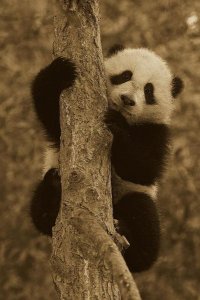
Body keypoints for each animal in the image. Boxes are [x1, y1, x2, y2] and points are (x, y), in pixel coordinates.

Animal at [30, 44, 183, 272]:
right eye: (125, 75)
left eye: (149, 90)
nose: (127, 100)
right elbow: (51, 117)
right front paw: (60, 72)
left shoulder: (156, 131)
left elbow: (144, 168)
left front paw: (116, 125)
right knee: (40, 208)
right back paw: (54, 191)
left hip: (131, 200)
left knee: (143, 217)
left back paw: (128, 235)